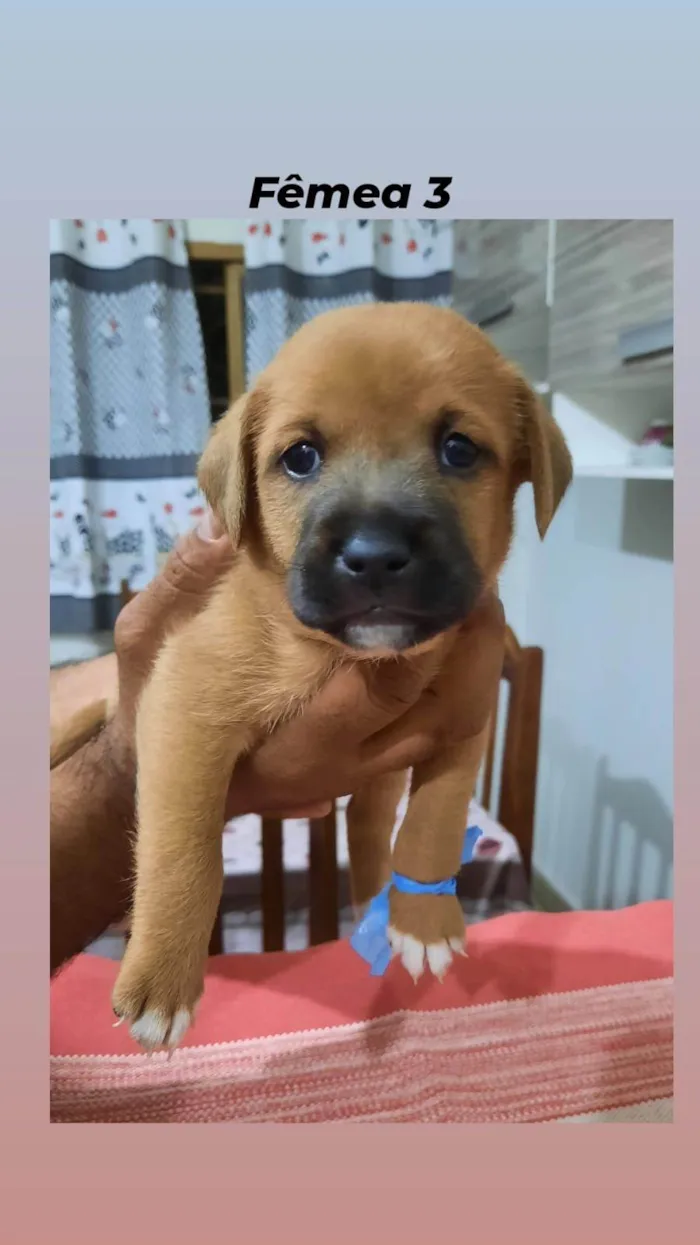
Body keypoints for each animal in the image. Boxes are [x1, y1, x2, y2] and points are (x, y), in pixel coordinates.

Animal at [107, 303, 567, 1050]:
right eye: (300, 456)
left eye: (459, 449)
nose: (374, 555)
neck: (342, 657)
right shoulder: (183, 705)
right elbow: (183, 847)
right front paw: (161, 978)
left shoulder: (465, 722)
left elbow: (433, 824)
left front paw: (424, 923)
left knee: (371, 824)